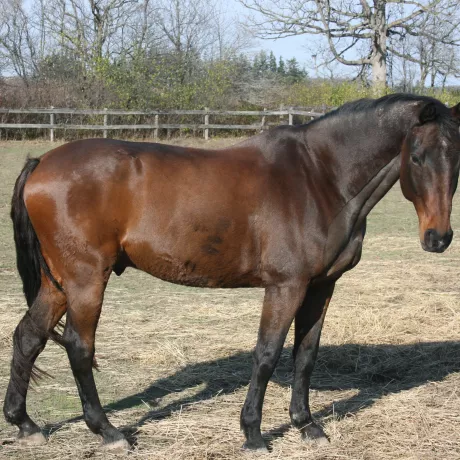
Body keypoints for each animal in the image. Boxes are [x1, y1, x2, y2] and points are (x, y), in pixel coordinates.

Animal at [3, 94, 460, 452]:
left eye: (456, 160)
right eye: (416, 157)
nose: (438, 238)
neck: (320, 177)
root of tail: (42, 162)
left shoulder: (321, 286)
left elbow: (305, 355)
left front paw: (307, 425)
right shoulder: (285, 287)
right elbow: (267, 354)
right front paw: (253, 434)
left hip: (59, 283)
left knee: (29, 336)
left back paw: (25, 424)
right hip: (85, 281)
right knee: (79, 347)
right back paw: (109, 432)